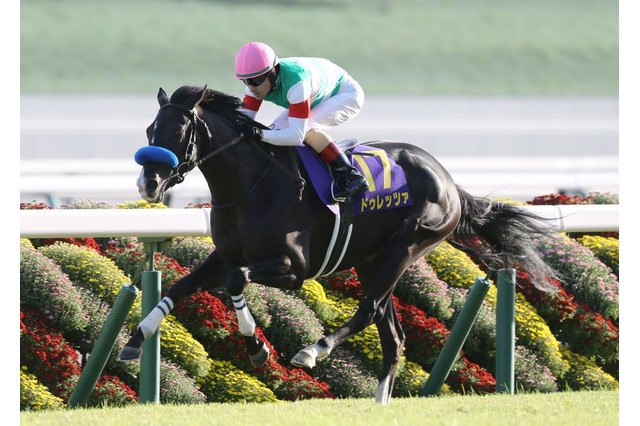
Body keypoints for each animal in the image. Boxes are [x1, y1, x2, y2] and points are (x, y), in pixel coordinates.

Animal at [117, 85, 557, 404]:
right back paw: (380, 402)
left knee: (369, 310)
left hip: (408, 245)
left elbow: (237, 282)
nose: (148, 184)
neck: (253, 185)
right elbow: (179, 288)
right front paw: (134, 342)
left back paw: (314, 350)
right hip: (371, 259)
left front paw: (258, 347)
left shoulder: (293, 268)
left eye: (178, 132)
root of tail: (449, 180)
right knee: (392, 335)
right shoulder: (225, 257)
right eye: (150, 131)